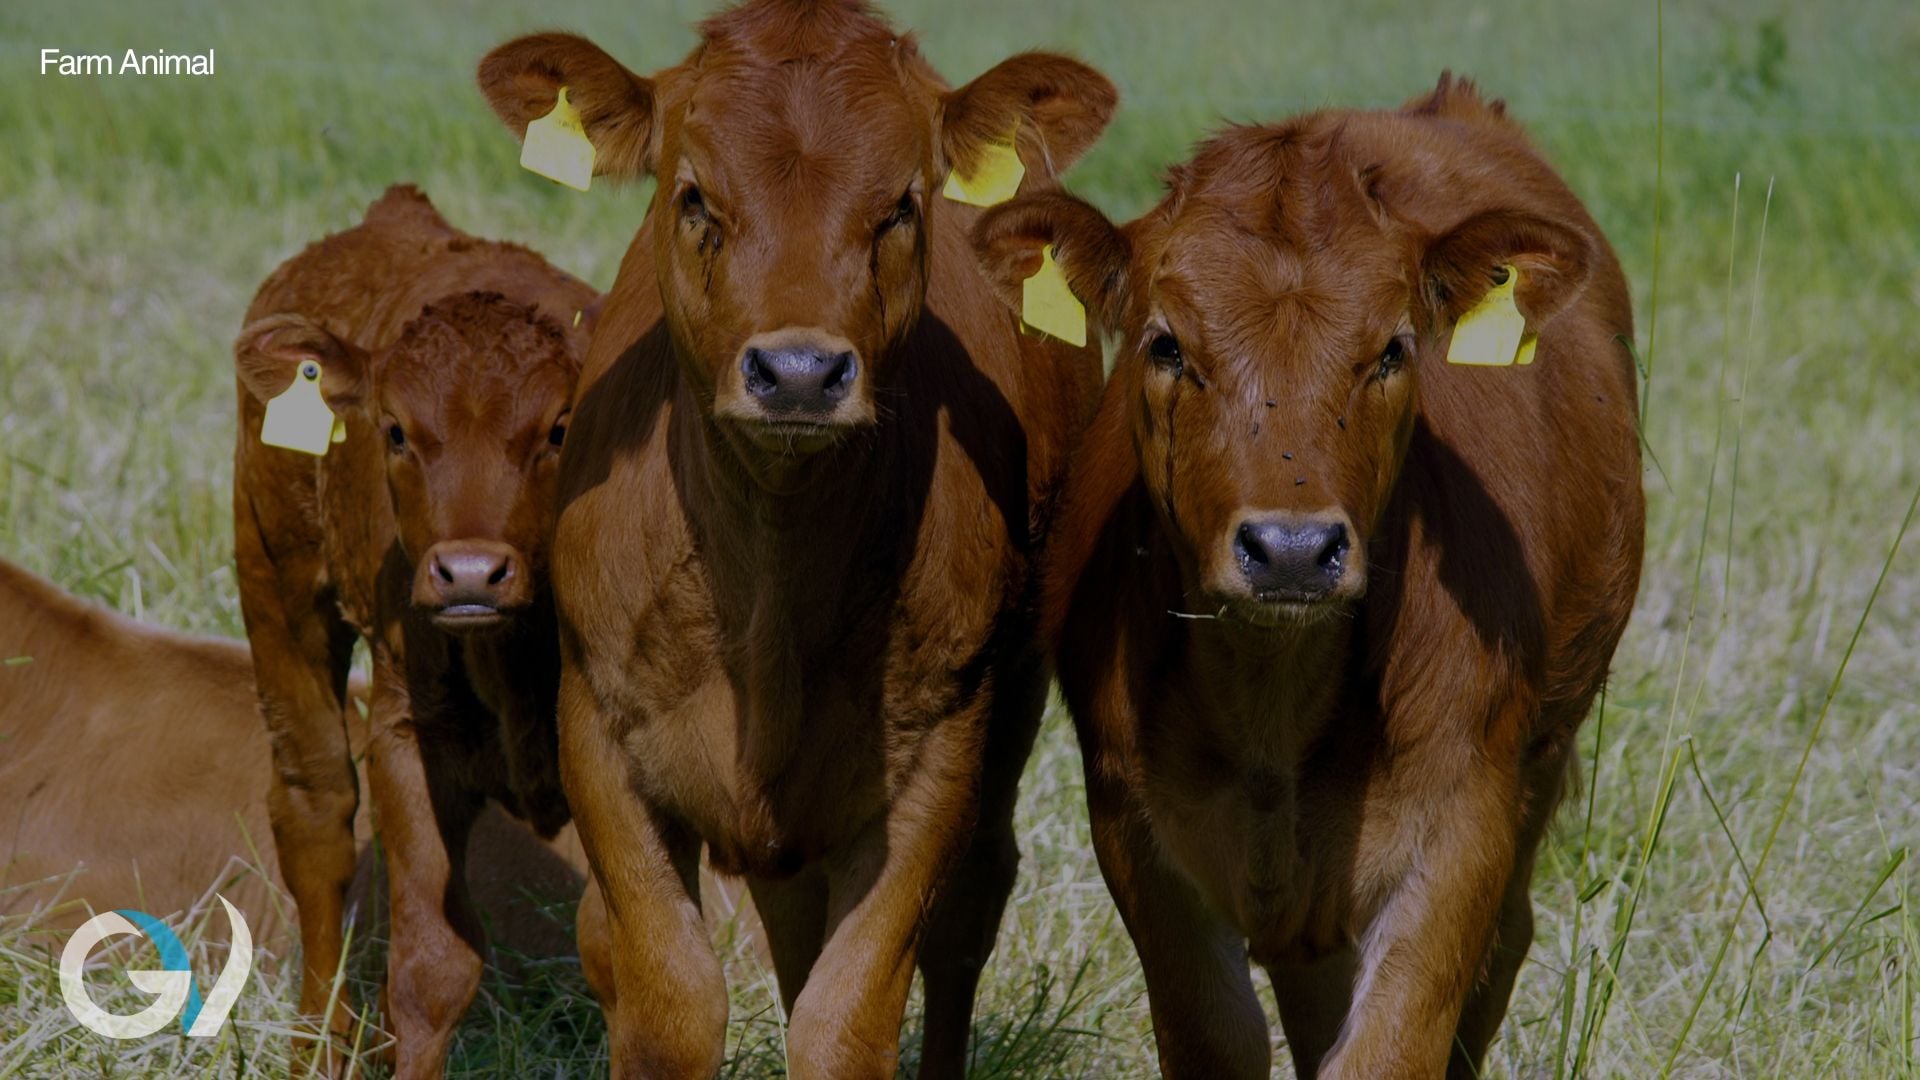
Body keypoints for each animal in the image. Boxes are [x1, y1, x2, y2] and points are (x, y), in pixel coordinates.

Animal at [230, 184, 595, 1076]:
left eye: (559, 428)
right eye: (395, 430)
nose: (468, 571)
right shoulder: (407, 732)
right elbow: (433, 970)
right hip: (275, 579)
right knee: (316, 809)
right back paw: (316, 1045)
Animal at [476, 2, 1116, 1076]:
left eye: (902, 205)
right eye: (694, 196)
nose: (801, 373)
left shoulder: (938, 753)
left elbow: (844, 1014)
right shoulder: (598, 734)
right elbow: (670, 996)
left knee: (968, 910)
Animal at [969, 75, 1646, 1078]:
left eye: (1394, 348)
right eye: (1165, 345)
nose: (1291, 549)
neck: (1272, 706)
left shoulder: (1461, 829)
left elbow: (1392, 1045)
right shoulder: (1138, 836)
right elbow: (1222, 1039)